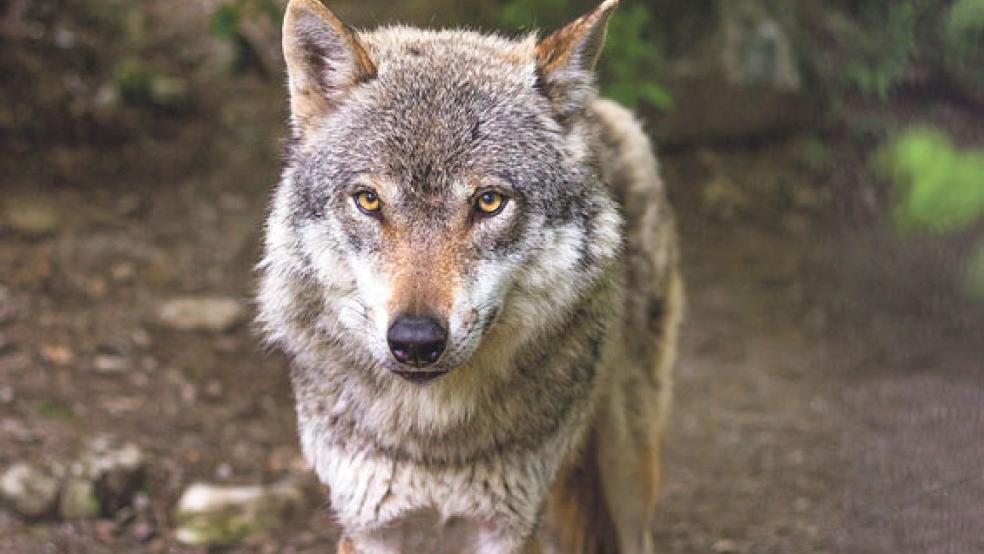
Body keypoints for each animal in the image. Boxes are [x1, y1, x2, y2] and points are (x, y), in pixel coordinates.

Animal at [256, 0, 683, 552]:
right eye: (368, 200)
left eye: (489, 202)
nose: (416, 341)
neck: (434, 441)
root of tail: (601, 109)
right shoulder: (369, 525)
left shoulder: (509, 526)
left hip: (626, 468)